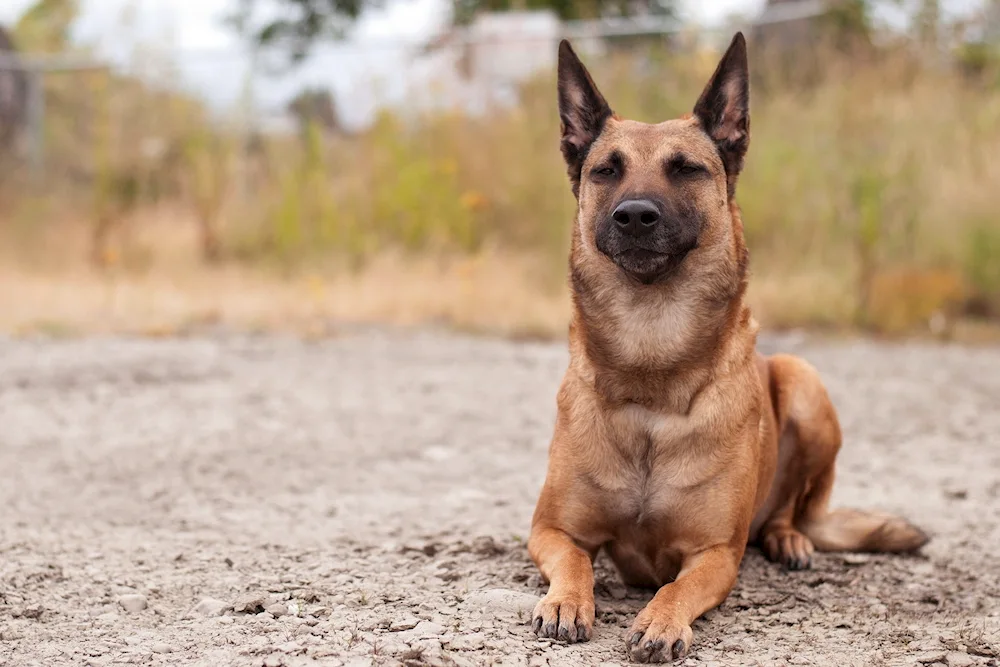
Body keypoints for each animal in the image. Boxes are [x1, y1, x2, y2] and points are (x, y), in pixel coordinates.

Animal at [528, 31, 924, 664]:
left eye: (686, 169)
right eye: (606, 170)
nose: (635, 215)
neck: (652, 371)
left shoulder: (715, 555)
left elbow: (677, 587)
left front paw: (660, 621)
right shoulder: (550, 531)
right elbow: (575, 562)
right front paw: (566, 601)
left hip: (804, 383)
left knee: (791, 508)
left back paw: (788, 539)